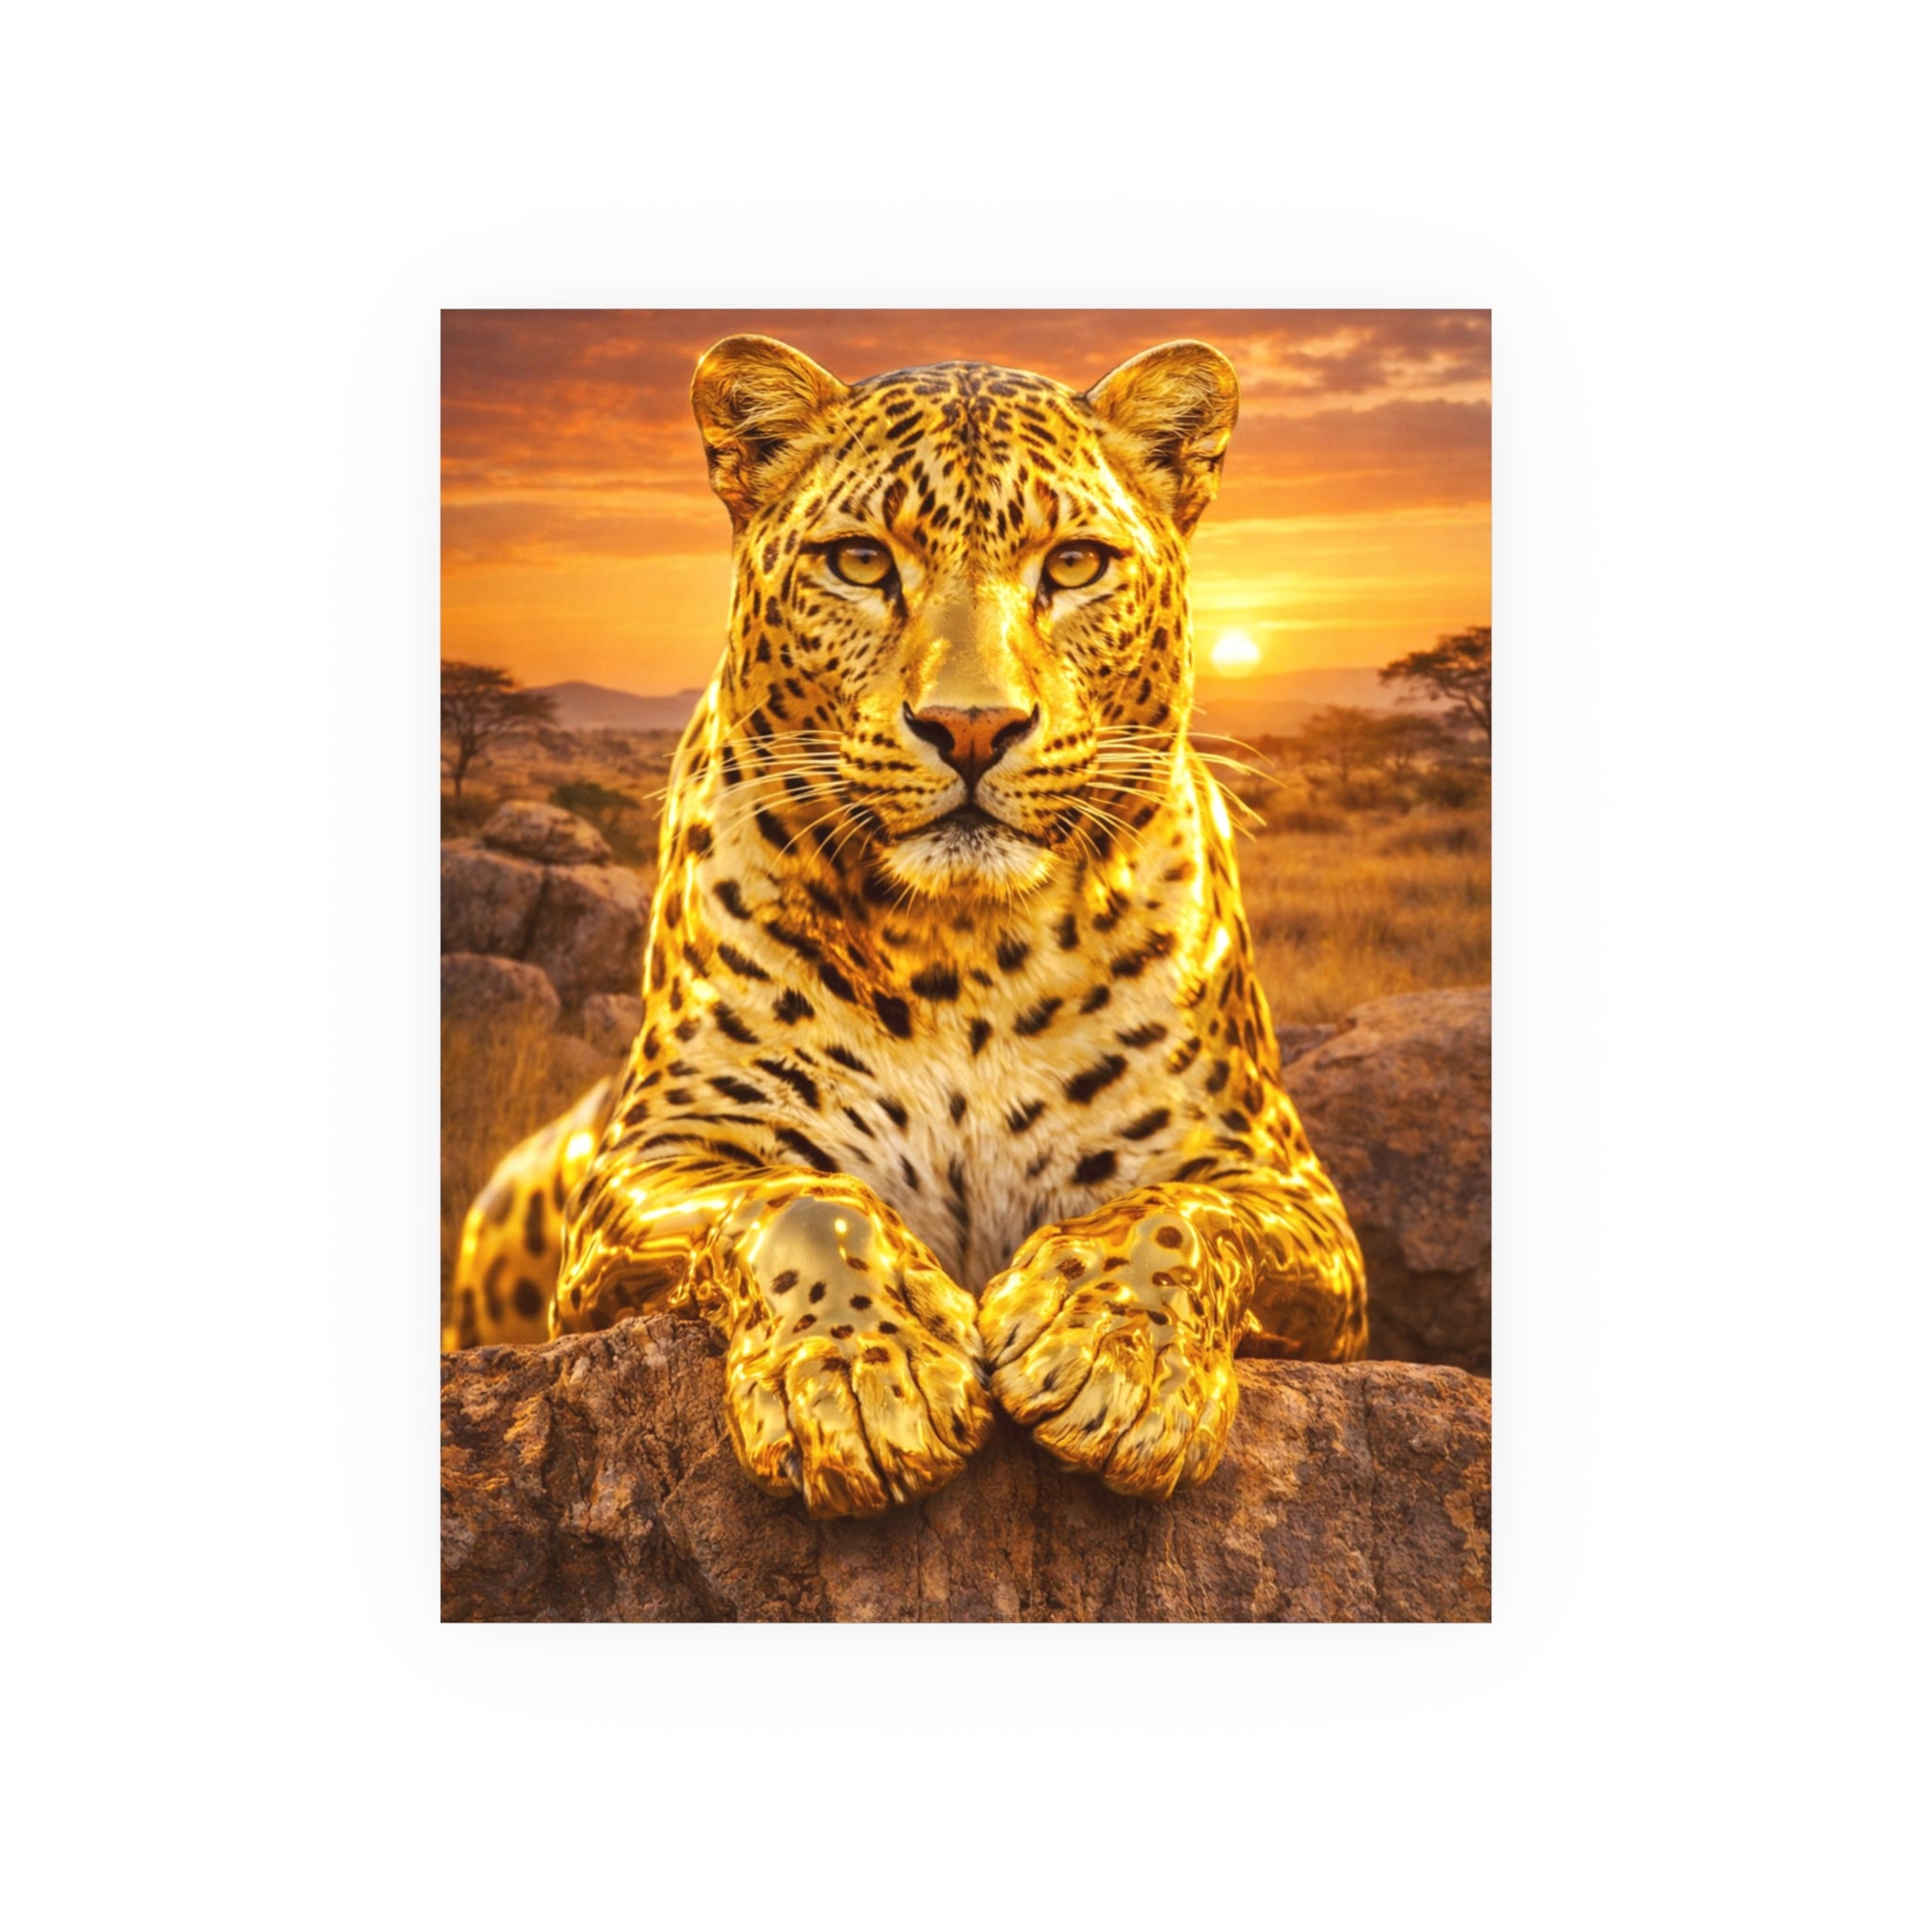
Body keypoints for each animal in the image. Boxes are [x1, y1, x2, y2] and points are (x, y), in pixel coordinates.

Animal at [446, 332, 1368, 1518]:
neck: (964, 953)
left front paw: (1112, 1357)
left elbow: (1173, 1214)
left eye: (1074, 565)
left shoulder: (1277, 1180)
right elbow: (798, 1194)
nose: (970, 726)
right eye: (858, 561)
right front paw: (859, 1378)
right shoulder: (655, 1159)